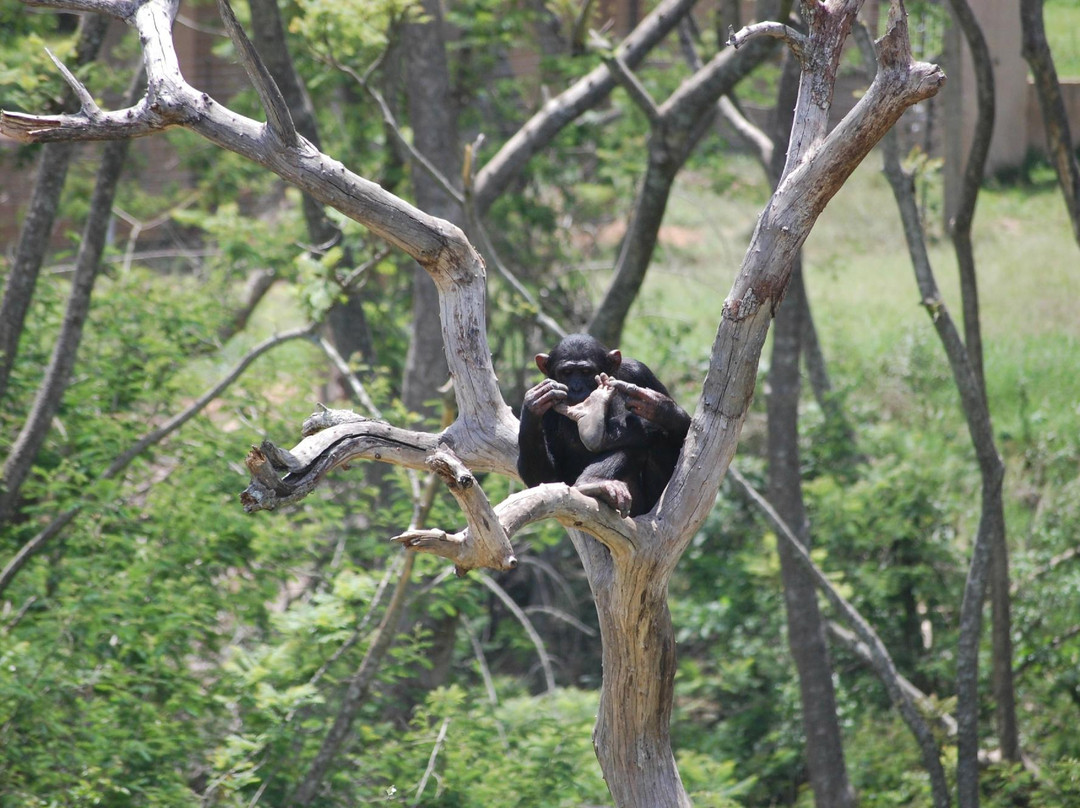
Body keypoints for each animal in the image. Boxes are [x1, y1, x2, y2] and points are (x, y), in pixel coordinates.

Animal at [516, 333, 690, 517]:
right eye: (566, 373)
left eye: (586, 372)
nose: (576, 387)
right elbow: (548, 480)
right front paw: (533, 403)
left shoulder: (640, 372)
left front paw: (657, 405)